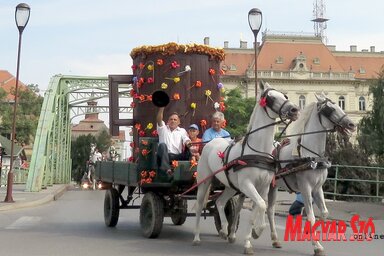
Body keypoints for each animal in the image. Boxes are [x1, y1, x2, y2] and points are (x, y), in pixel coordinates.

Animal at [192, 82, 300, 254]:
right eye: (271, 98)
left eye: (285, 95)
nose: (294, 110)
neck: (258, 151)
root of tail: (211, 142)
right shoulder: (247, 185)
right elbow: (261, 205)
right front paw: (254, 235)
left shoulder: (263, 187)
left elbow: (259, 208)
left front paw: (252, 236)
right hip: (204, 182)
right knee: (200, 205)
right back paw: (196, 238)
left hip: (230, 186)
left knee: (220, 202)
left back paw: (224, 230)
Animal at [266, 94, 356, 256]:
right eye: (330, 109)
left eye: (339, 104)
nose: (352, 124)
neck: (312, 156)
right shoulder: (305, 188)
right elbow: (311, 216)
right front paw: (317, 246)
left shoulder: (317, 188)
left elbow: (324, 213)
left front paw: (313, 235)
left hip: (273, 186)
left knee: (270, 210)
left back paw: (275, 239)